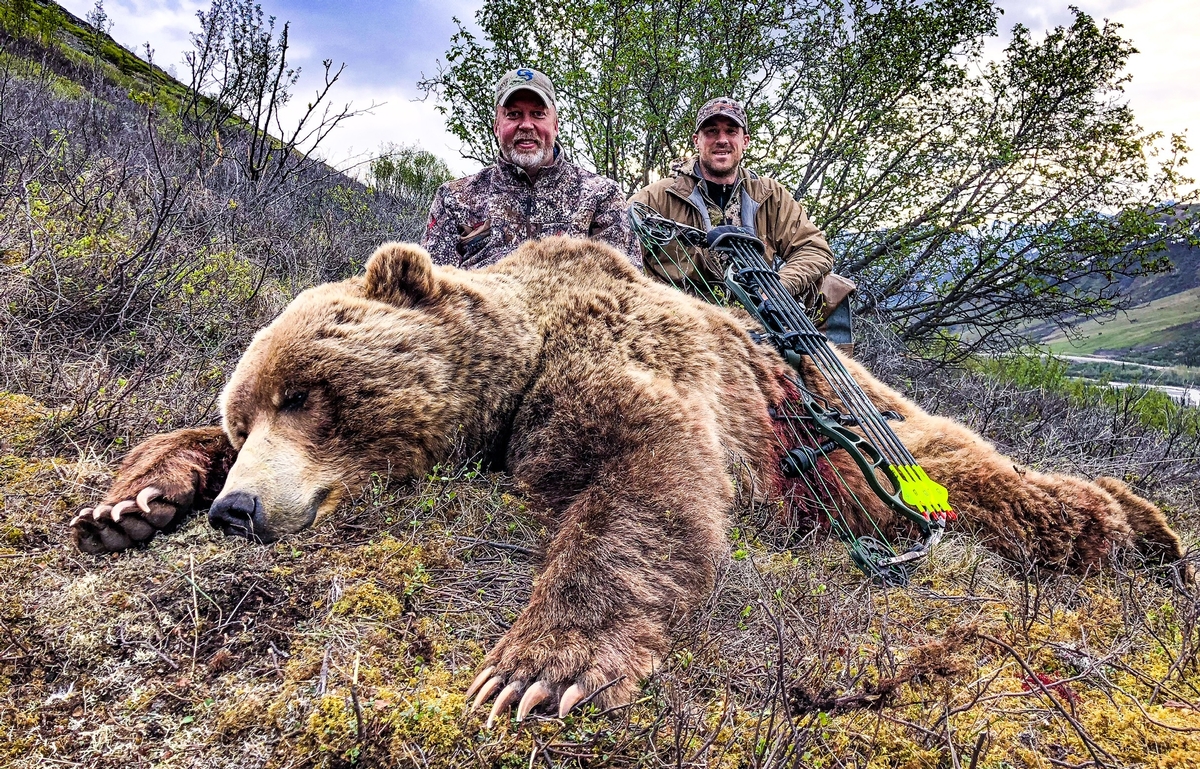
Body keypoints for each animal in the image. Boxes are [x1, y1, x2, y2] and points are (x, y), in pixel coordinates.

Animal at [75, 237, 1190, 724]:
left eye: (310, 393)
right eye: (242, 416)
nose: (239, 508)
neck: (520, 351)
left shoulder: (617, 365)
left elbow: (647, 478)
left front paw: (537, 669)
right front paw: (126, 504)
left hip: (869, 450)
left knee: (997, 485)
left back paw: (1148, 532)